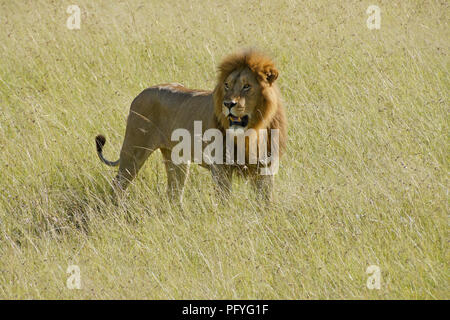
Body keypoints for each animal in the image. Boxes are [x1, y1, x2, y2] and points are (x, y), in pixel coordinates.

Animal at [95, 50, 288, 205]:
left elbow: (265, 202)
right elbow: (224, 200)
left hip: (176, 159)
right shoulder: (221, 168)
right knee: (118, 184)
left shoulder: (266, 169)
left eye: (247, 86)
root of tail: (140, 94)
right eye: (226, 85)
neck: (251, 131)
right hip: (134, 151)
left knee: (173, 192)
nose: (228, 104)